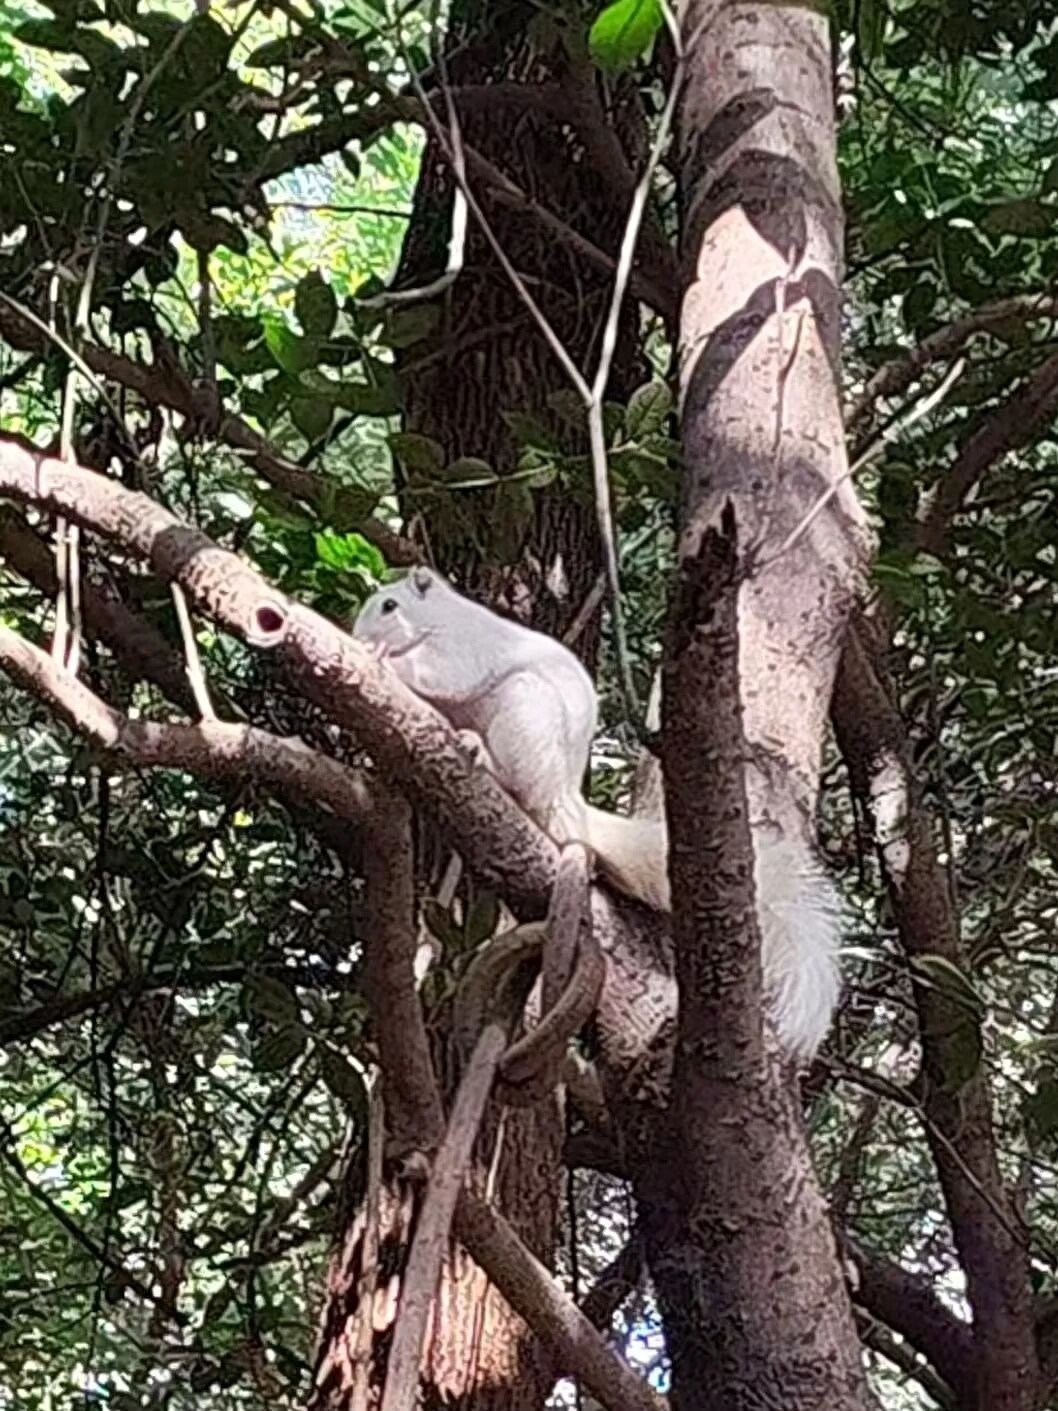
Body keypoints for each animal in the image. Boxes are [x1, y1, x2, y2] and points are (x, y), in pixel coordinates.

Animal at [353, 565, 842, 1061]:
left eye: (390, 606)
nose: (360, 634)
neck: (436, 618)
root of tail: (565, 801)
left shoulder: (466, 644)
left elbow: (443, 671)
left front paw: (380, 657)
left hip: (525, 711)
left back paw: (482, 754)